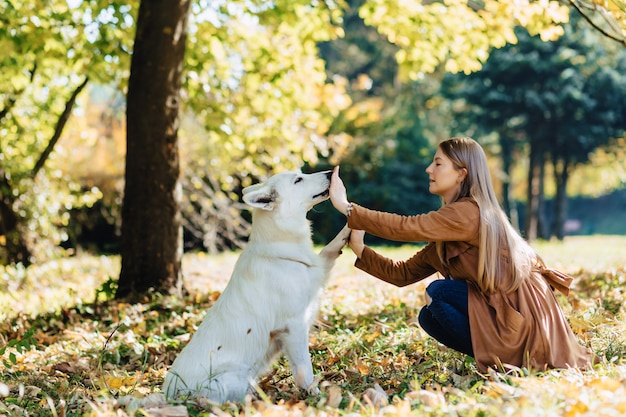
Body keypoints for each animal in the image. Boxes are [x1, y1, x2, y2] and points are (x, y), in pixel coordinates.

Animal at [163, 169, 352, 404]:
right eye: (298, 180)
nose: (329, 173)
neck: (278, 249)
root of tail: (168, 394)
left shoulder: (317, 271)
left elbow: (331, 248)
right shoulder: (294, 327)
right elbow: (305, 370)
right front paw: (315, 396)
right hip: (233, 378)